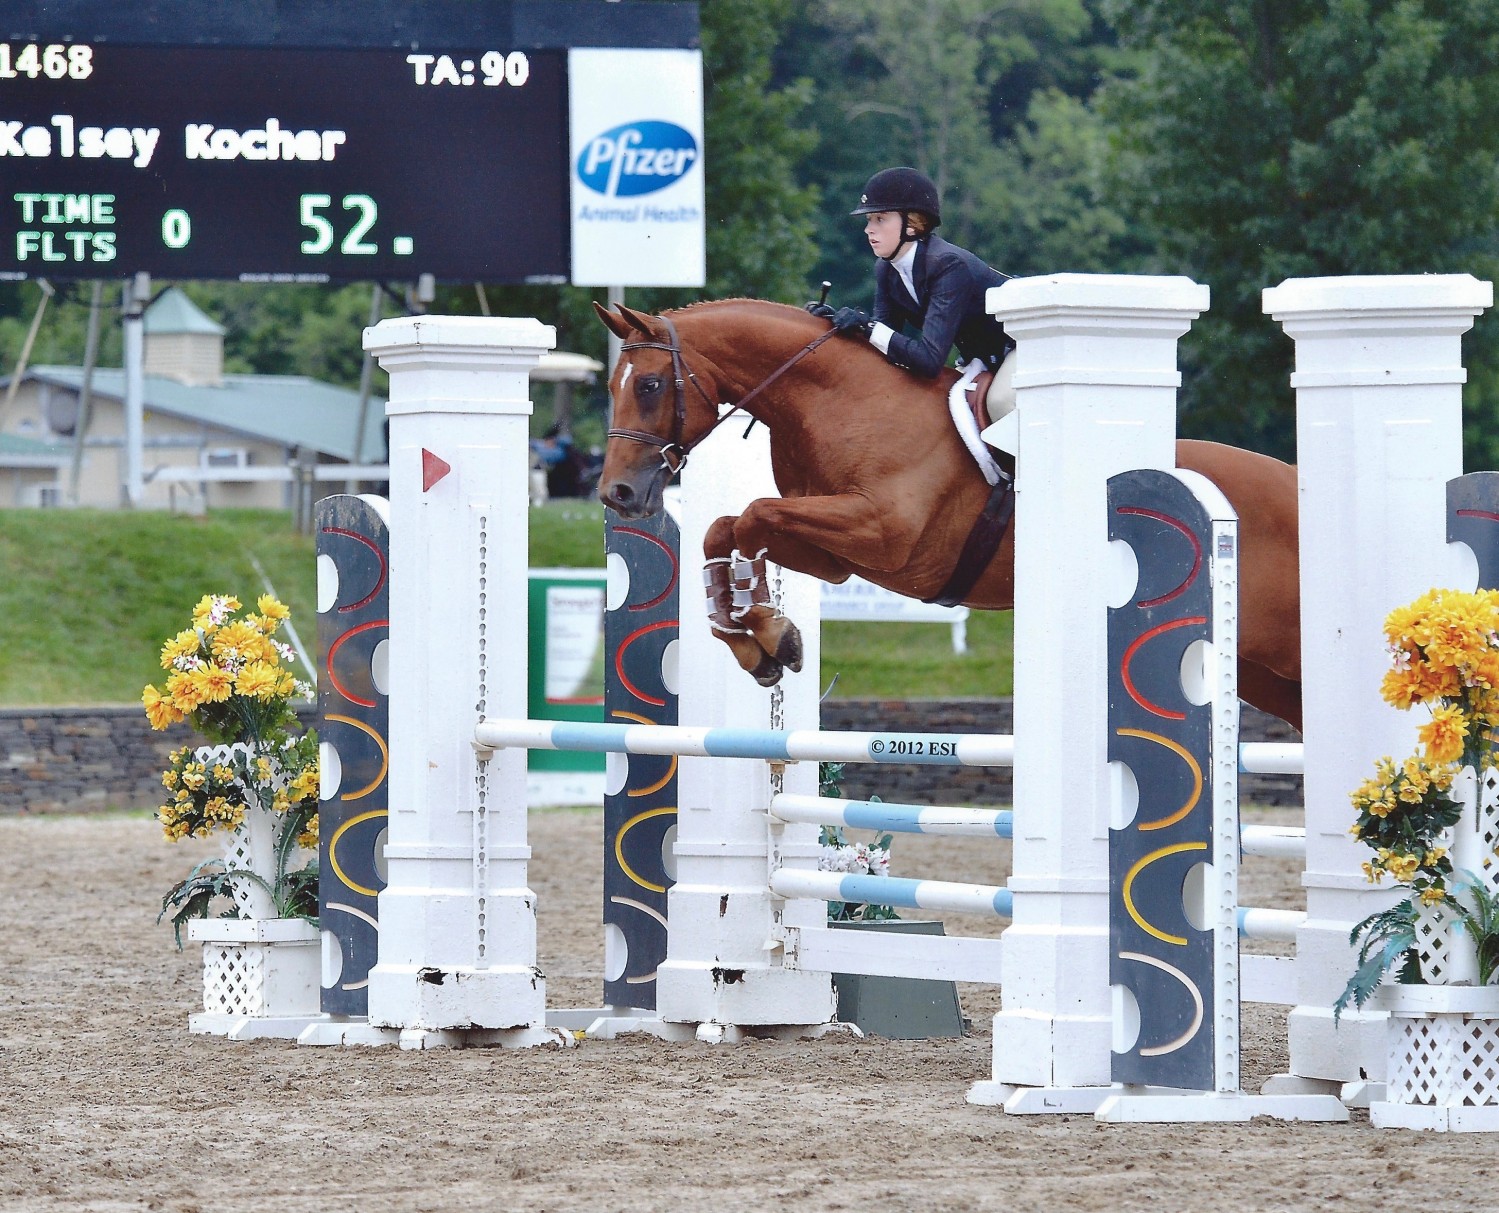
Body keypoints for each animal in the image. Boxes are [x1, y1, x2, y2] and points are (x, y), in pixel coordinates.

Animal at [593, 295, 1301, 728]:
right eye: (611, 387)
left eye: (650, 386)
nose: (616, 494)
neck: (836, 400)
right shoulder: (837, 553)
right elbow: (729, 526)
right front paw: (757, 639)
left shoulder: (884, 532)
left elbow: (755, 515)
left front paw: (769, 632)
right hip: (1261, 671)